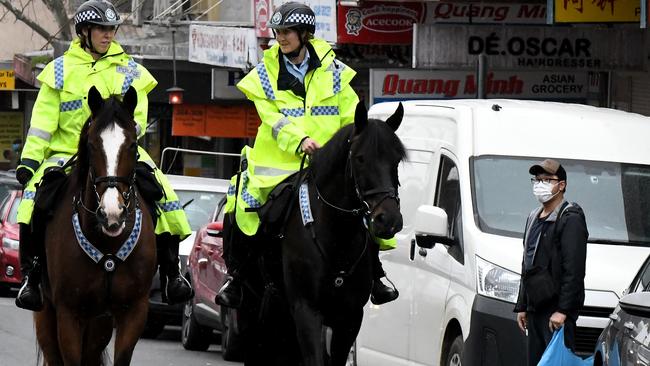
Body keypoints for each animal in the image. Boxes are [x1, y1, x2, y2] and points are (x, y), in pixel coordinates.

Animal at [34, 86, 157, 366]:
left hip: (99, 323)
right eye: (91, 145)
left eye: (133, 145)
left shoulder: (134, 312)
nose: (112, 213)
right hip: (47, 313)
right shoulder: (68, 314)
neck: (108, 243)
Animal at [242, 101, 404, 366]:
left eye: (397, 160)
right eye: (360, 158)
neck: (337, 237)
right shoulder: (306, 311)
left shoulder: (349, 317)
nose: (388, 219)